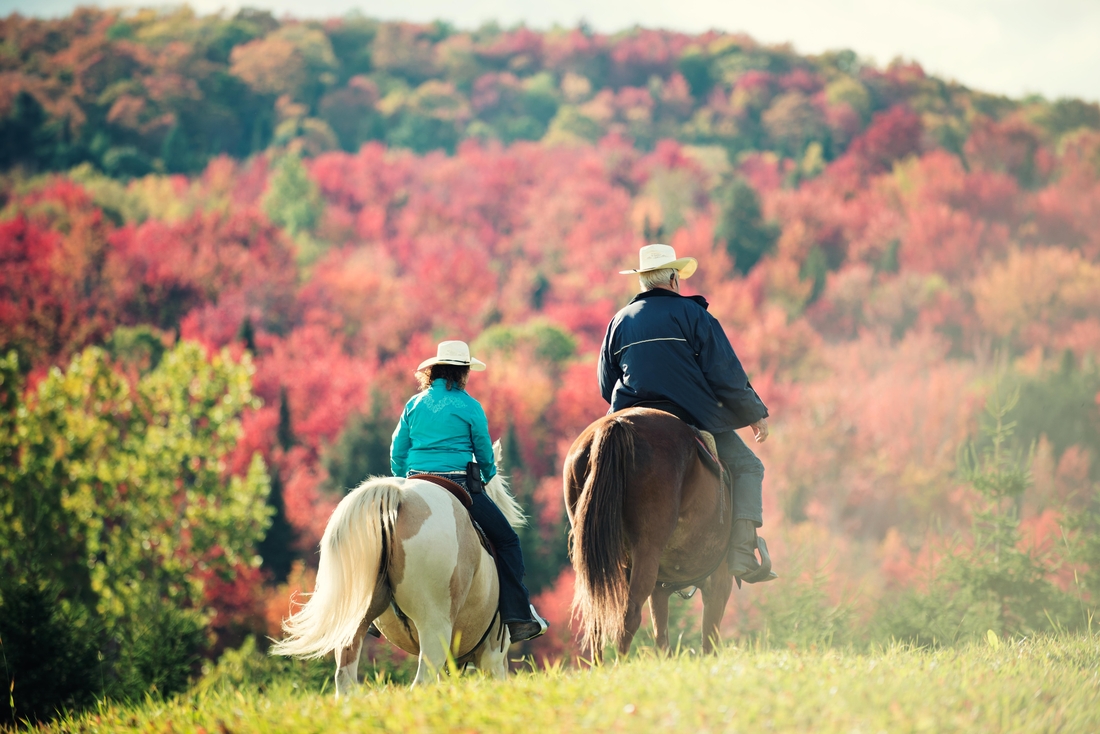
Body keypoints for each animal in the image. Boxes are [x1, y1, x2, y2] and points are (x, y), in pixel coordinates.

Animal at [271, 444, 526, 693]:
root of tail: (400, 496)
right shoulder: (493, 655)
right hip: (435, 627)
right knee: (421, 682)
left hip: (354, 625)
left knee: (345, 679)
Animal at [564, 407, 739, 659]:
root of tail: (617, 425)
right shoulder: (719, 583)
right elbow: (708, 640)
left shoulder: (661, 589)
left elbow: (662, 638)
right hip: (648, 551)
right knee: (630, 615)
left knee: (596, 618)